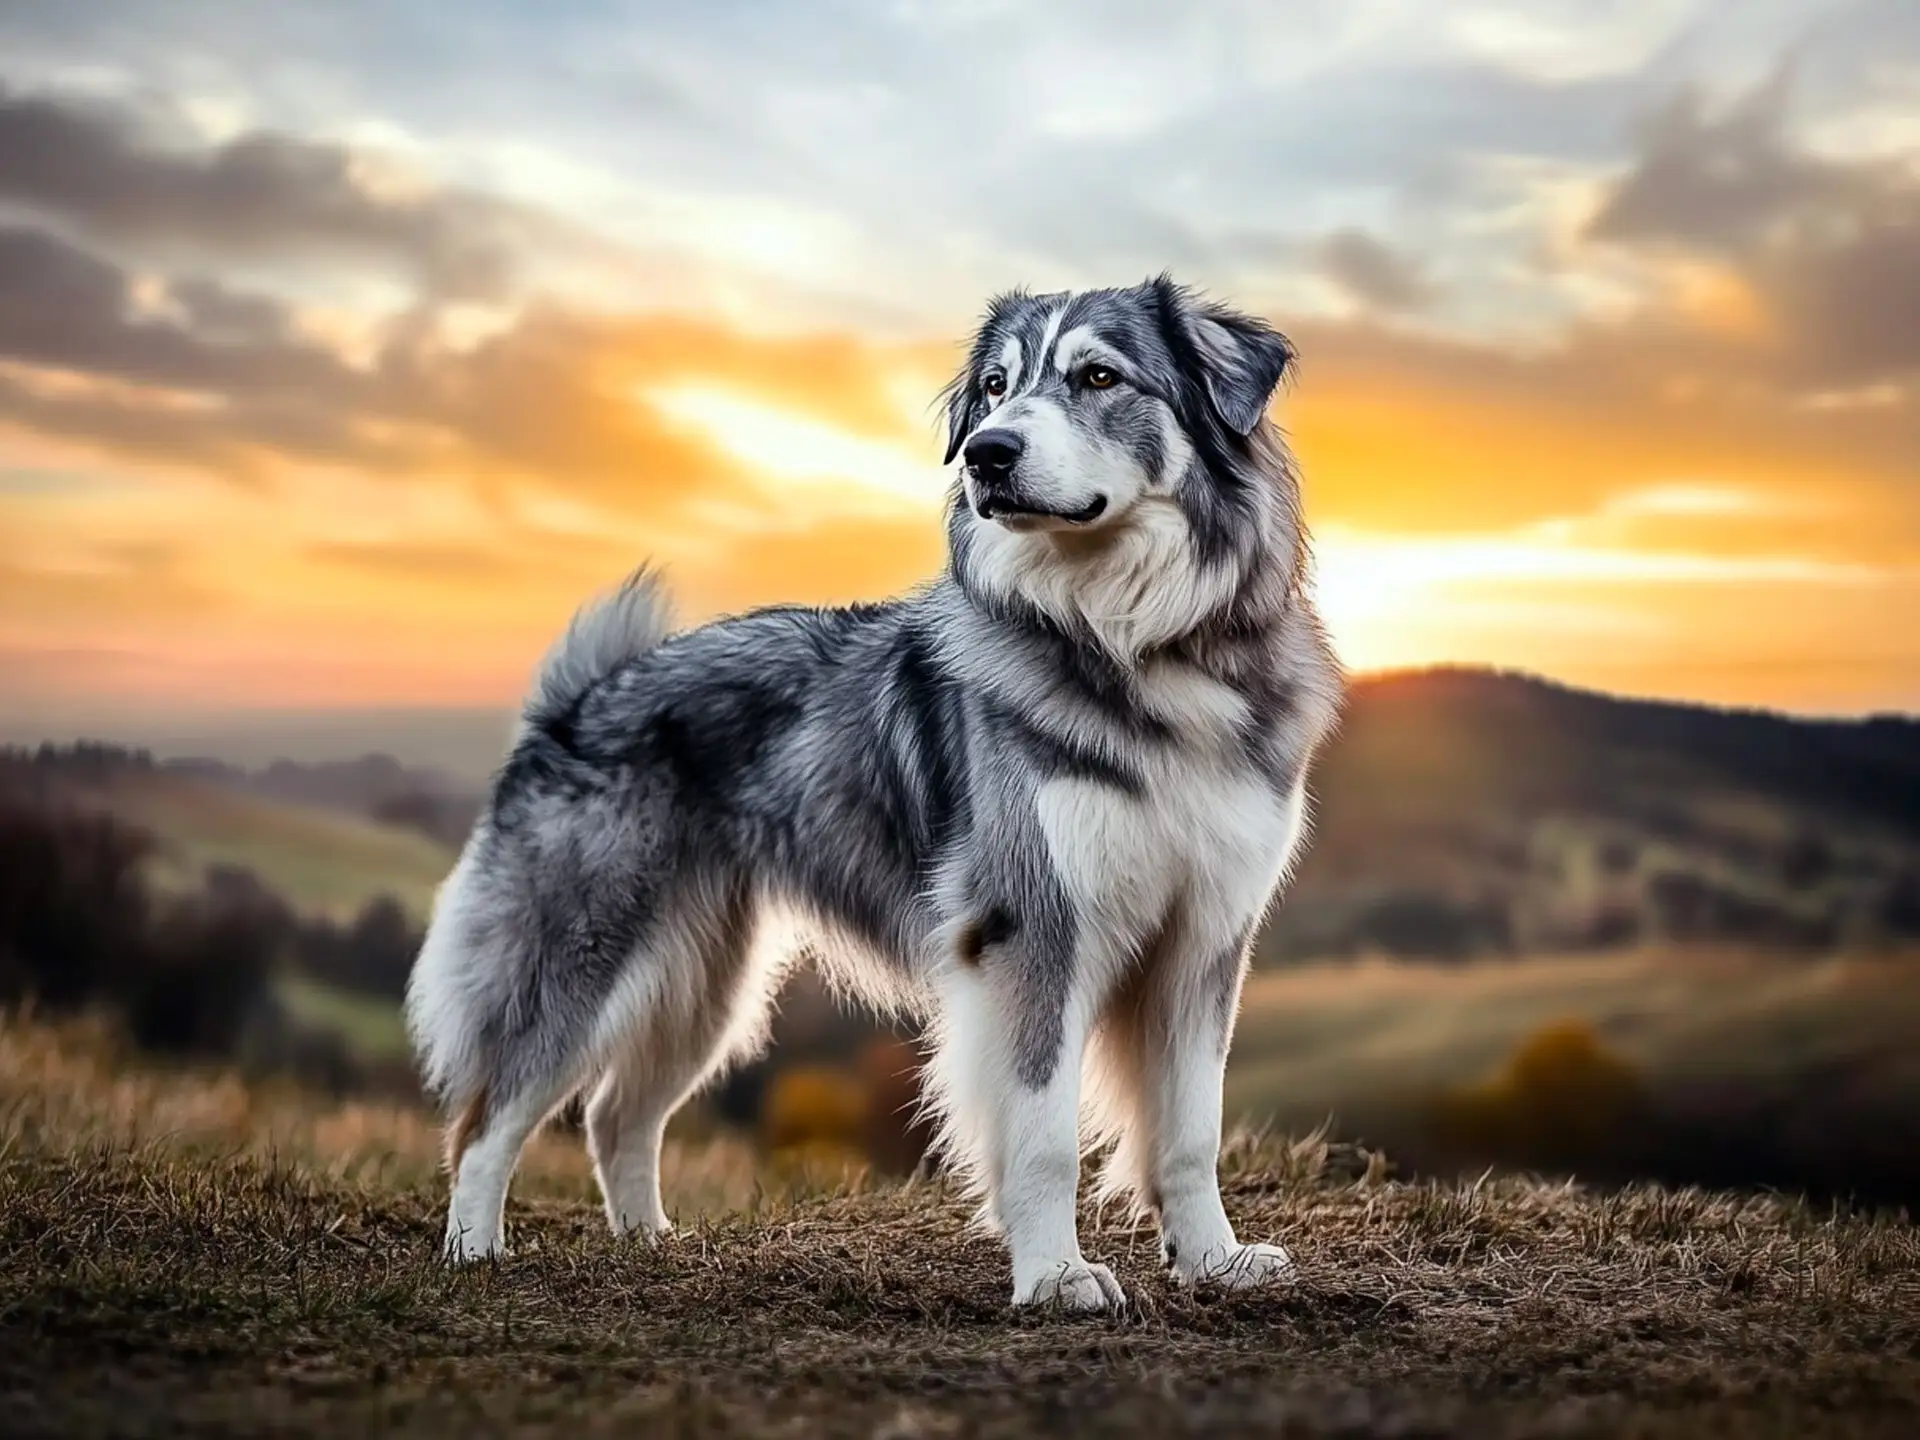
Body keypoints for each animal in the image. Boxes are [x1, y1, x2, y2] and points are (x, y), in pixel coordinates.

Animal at [403, 276, 1336, 1313]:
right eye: (997, 386)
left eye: (1100, 376)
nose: (987, 452)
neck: (1144, 649)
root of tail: (583, 697)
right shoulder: (1033, 928)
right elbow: (1043, 1133)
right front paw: (1056, 1276)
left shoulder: (1204, 938)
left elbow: (1189, 1130)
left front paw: (1214, 1260)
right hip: (581, 952)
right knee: (488, 1114)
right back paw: (473, 1253)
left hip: (703, 982)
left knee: (616, 1113)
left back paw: (649, 1243)